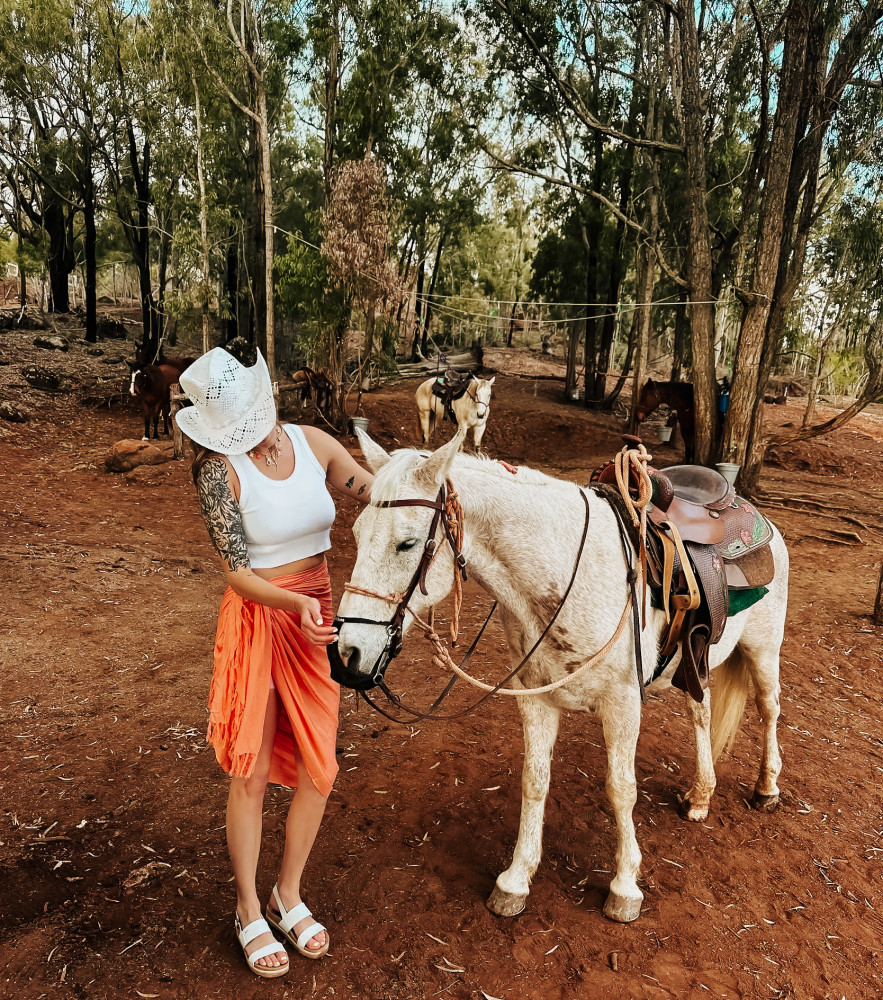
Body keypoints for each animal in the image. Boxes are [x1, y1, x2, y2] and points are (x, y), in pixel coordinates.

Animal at [334, 430, 792, 920]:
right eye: (357, 533)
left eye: (406, 544)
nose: (346, 654)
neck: (566, 573)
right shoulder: (534, 696)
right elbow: (534, 781)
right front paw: (516, 879)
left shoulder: (623, 703)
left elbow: (622, 789)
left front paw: (624, 887)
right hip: (694, 662)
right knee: (701, 713)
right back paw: (701, 795)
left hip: (762, 650)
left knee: (768, 708)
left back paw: (767, 788)